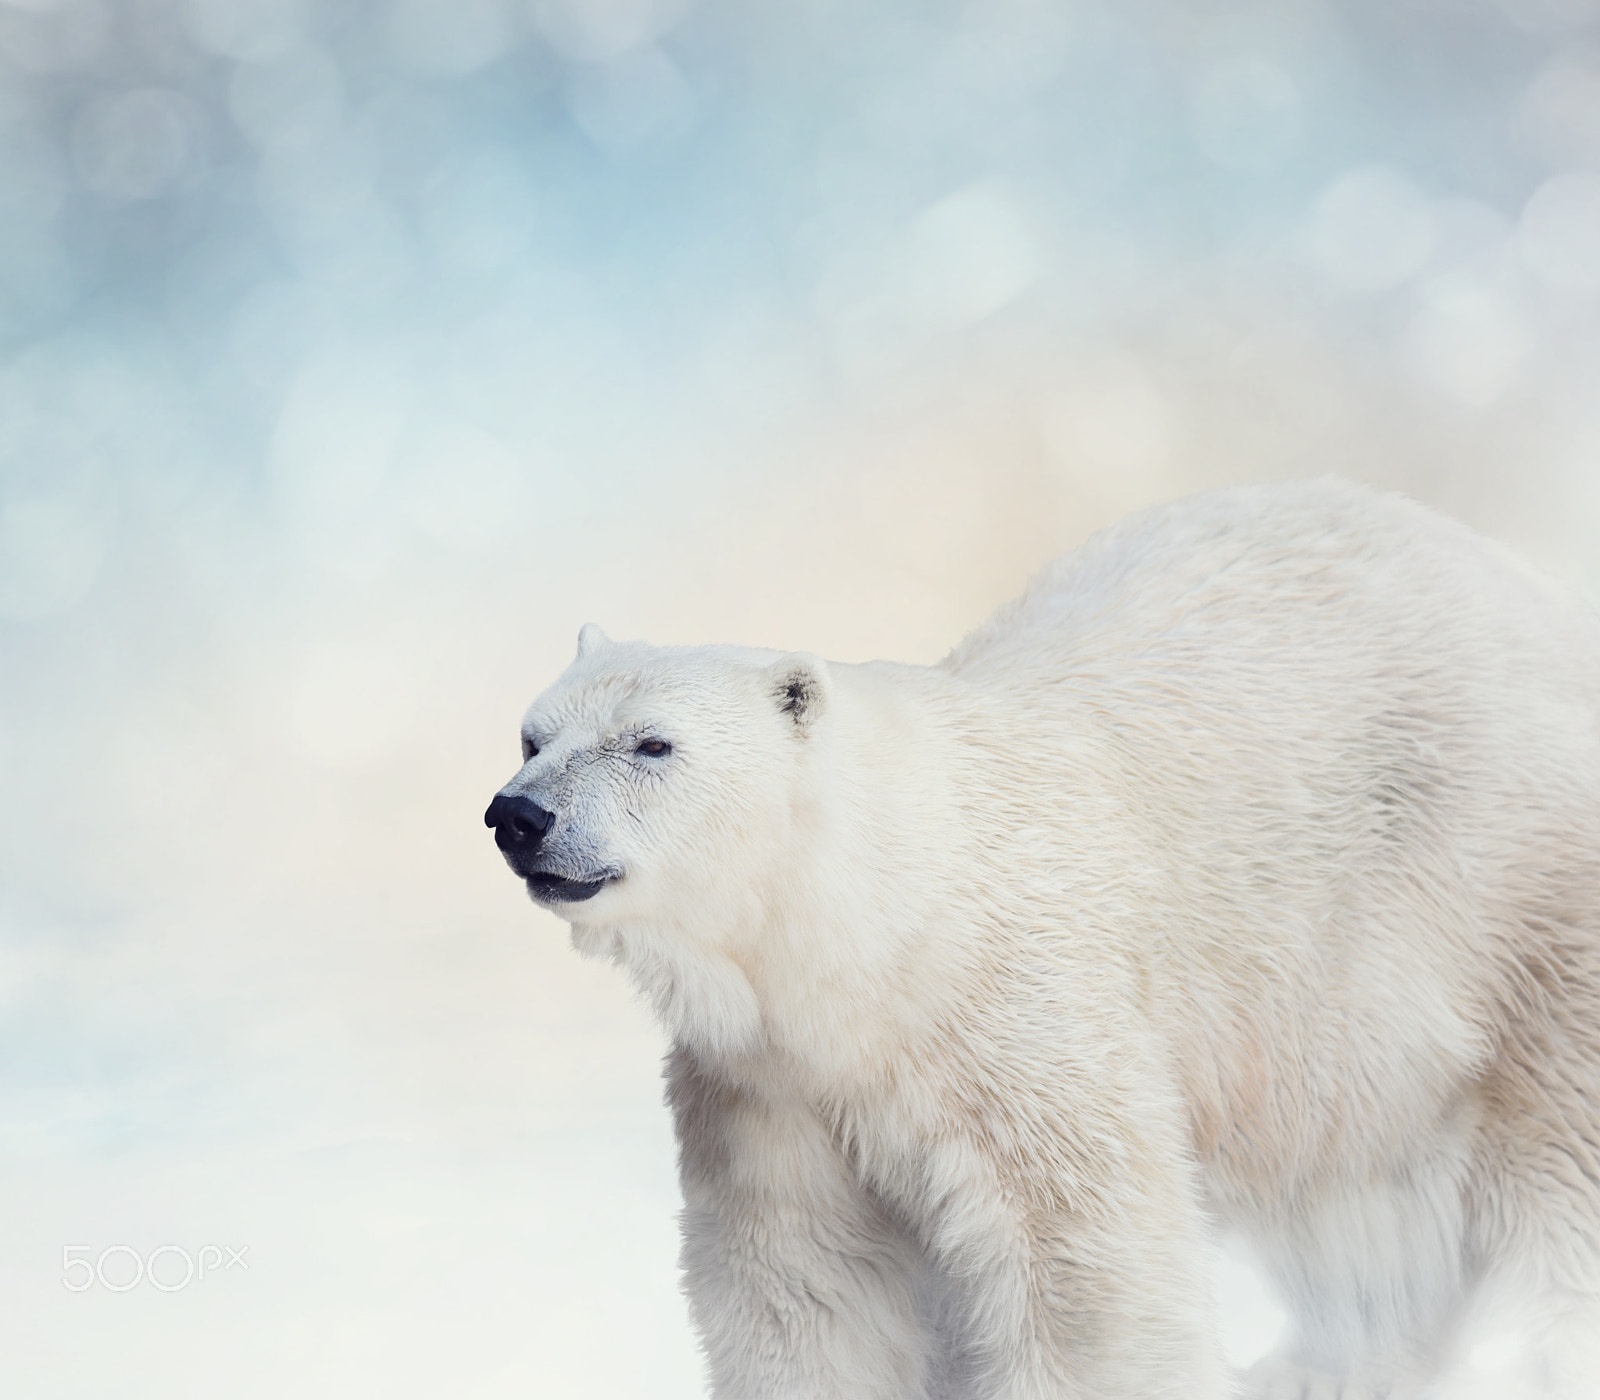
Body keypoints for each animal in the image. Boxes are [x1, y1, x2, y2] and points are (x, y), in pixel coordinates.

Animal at [480, 476, 1600, 1395]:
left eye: (651, 744)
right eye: (532, 733)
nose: (517, 815)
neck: (880, 931)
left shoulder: (1021, 1018)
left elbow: (1086, 1267)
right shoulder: (769, 1083)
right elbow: (806, 1280)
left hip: (1509, 898)